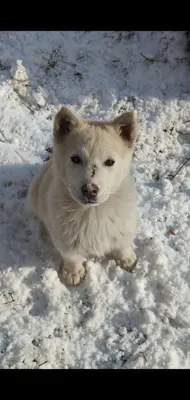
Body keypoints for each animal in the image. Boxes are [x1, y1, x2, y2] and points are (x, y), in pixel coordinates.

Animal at [27, 106, 138, 284]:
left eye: (110, 162)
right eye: (75, 158)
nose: (90, 189)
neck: (93, 212)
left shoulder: (124, 224)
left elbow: (122, 244)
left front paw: (127, 259)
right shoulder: (65, 239)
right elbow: (72, 256)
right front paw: (73, 273)